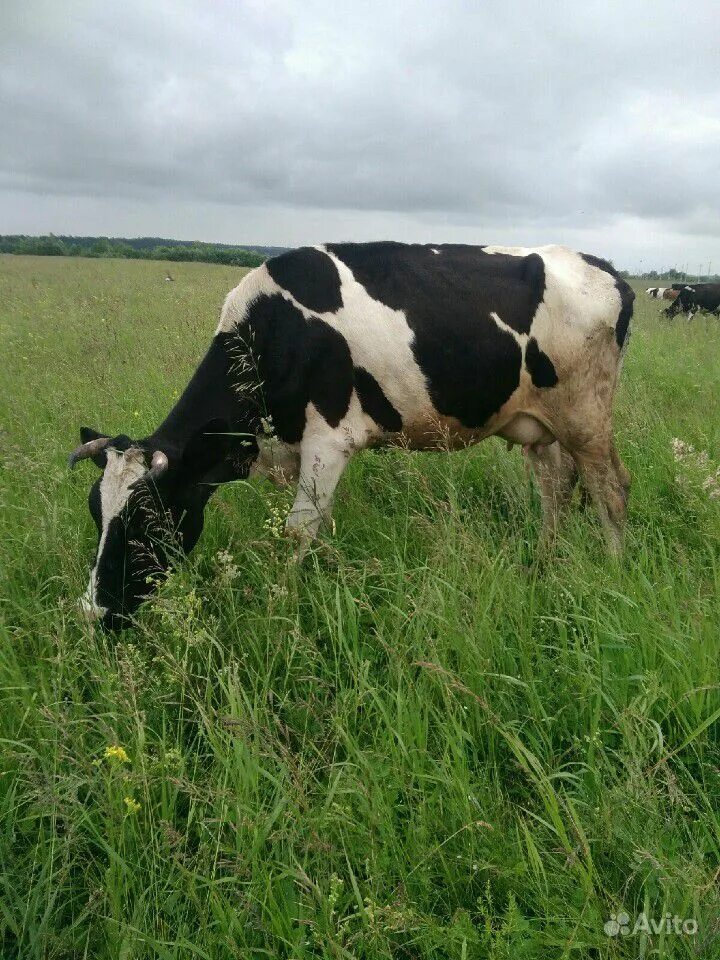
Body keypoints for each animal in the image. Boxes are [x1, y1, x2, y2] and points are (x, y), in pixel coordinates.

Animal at [70, 244, 636, 628]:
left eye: (146, 520)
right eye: (96, 514)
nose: (94, 613)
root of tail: (606, 269)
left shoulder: (329, 441)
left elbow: (297, 531)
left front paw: (280, 606)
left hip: (586, 416)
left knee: (610, 489)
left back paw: (613, 572)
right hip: (541, 427)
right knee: (556, 487)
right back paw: (543, 564)